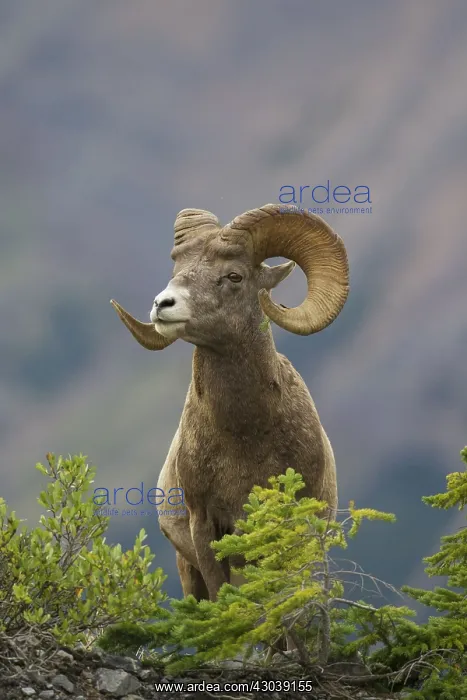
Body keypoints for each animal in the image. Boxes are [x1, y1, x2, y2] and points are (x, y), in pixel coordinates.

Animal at [111, 203, 349, 603]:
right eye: (177, 272)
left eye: (234, 276)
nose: (162, 305)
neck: (245, 436)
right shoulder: (205, 528)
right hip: (189, 574)